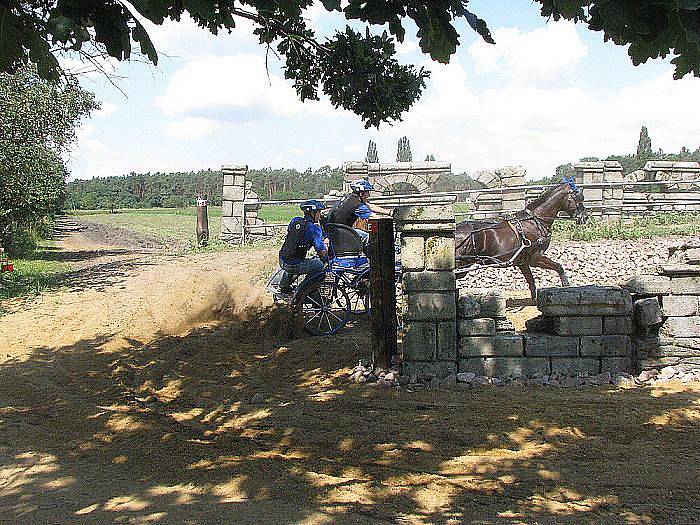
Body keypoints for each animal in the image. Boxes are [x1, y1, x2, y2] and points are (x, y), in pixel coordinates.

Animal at [456, 180, 588, 298]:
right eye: (578, 197)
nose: (585, 217)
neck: (536, 220)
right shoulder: (535, 257)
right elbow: (559, 267)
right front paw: (566, 285)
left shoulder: (523, 262)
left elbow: (531, 282)